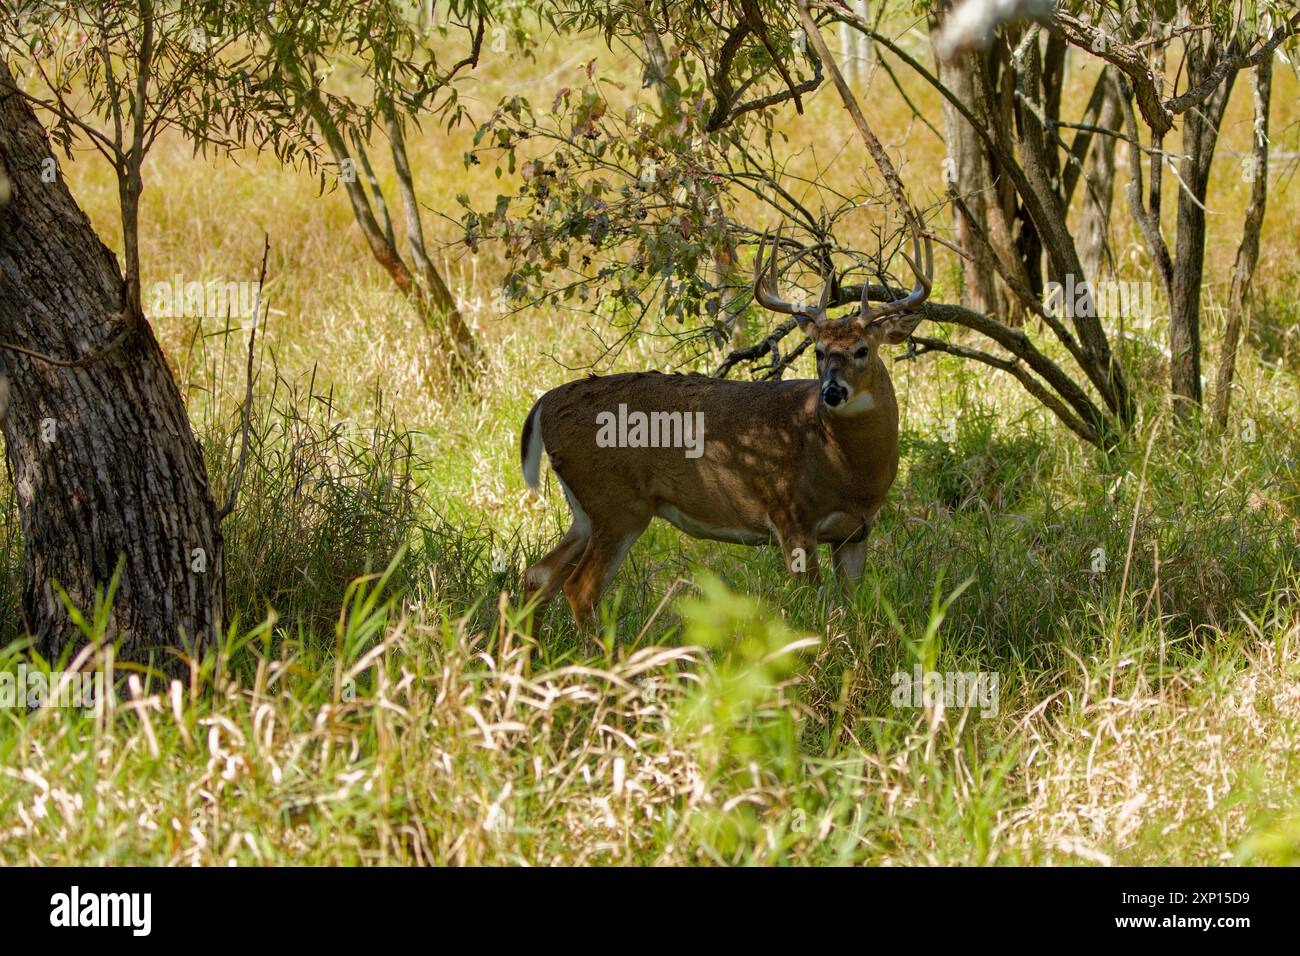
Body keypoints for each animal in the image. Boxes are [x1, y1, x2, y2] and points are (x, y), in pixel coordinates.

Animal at [518, 222, 933, 631]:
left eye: (862, 350)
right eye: (818, 351)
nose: (832, 391)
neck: (844, 468)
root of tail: (544, 403)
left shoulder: (856, 532)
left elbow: (854, 610)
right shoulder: (791, 514)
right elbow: (814, 609)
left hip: (586, 510)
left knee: (538, 574)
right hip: (617, 503)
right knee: (580, 588)